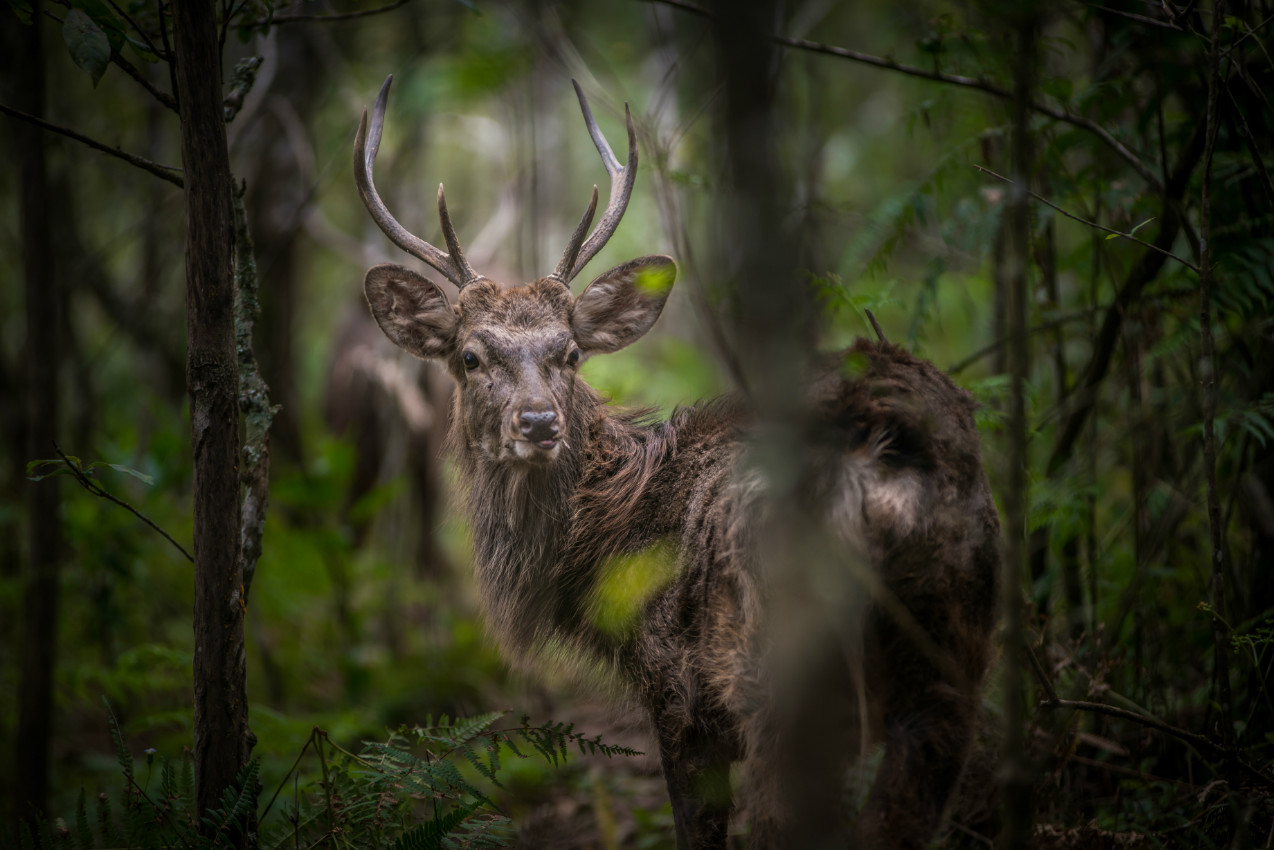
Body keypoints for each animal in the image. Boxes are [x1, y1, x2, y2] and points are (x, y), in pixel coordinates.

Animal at [354, 76, 998, 846]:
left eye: (571, 352)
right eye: (471, 356)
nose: (538, 422)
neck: (612, 529)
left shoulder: (678, 691)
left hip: (774, 668)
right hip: (956, 649)